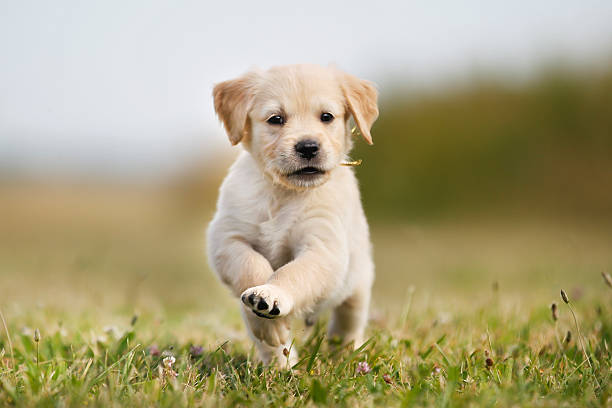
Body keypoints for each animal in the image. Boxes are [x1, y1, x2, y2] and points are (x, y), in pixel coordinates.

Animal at [207, 64, 378, 370]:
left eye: (326, 117)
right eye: (276, 119)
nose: (308, 147)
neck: (284, 193)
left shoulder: (323, 248)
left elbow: (293, 273)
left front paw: (273, 294)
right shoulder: (226, 238)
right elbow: (251, 265)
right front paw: (266, 314)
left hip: (358, 285)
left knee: (347, 324)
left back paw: (345, 357)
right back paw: (281, 368)